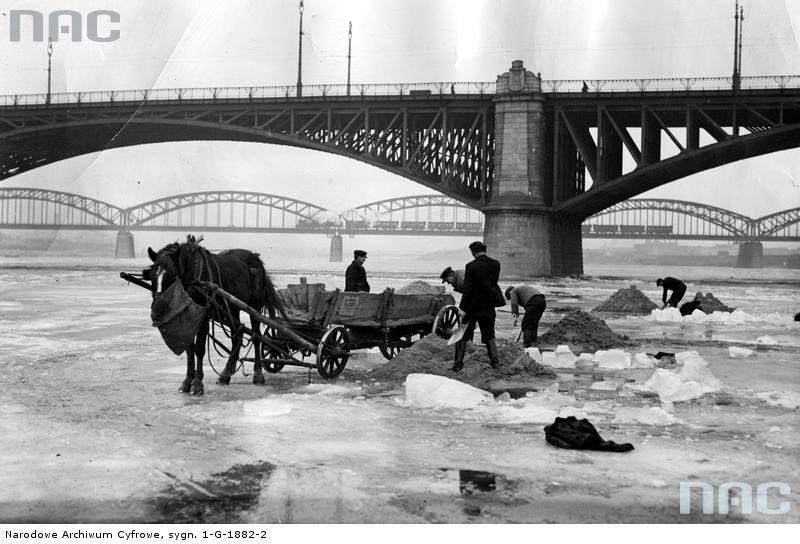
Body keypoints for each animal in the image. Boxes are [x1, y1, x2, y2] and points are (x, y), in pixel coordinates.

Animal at [147, 235, 284, 396]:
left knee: (257, 337)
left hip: (254, 306)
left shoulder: (204, 315)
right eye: (151, 275)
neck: (195, 276)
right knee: (237, 336)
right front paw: (187, 381)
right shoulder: (189, 316)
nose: (158, 306)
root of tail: (257, 260)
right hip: (232, 308)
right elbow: (189, 349)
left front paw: (198, 384)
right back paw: (226, 373)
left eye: (171, 274)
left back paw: (258, 374)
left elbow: (200, 348)